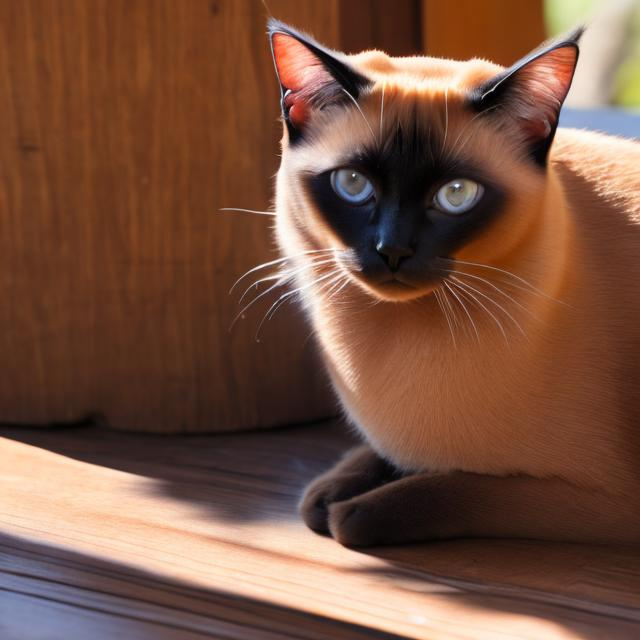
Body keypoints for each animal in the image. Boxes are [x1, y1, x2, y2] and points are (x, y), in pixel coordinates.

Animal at [264, 20, 640, 544]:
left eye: (456, 195)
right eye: (353, 185)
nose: (392, 250)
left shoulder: (593, 501)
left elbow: (444, 490)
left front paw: (349, 510)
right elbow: (373, 458)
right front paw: (331, 490)